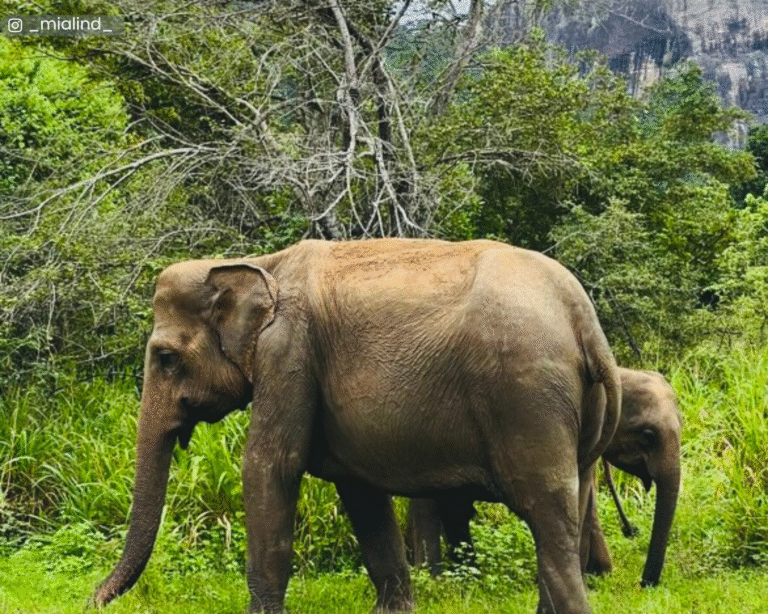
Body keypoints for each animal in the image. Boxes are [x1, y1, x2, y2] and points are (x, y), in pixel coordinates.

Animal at [91, 238, 621, 614]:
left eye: (166, 358)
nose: (91, 599)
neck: (259, 263)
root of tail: (584, 321)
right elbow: (359, 491)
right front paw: (394, 611)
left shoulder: (289, 352)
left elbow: (270, 466)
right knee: (571, 507)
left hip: (526, 397)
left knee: (547, 514)